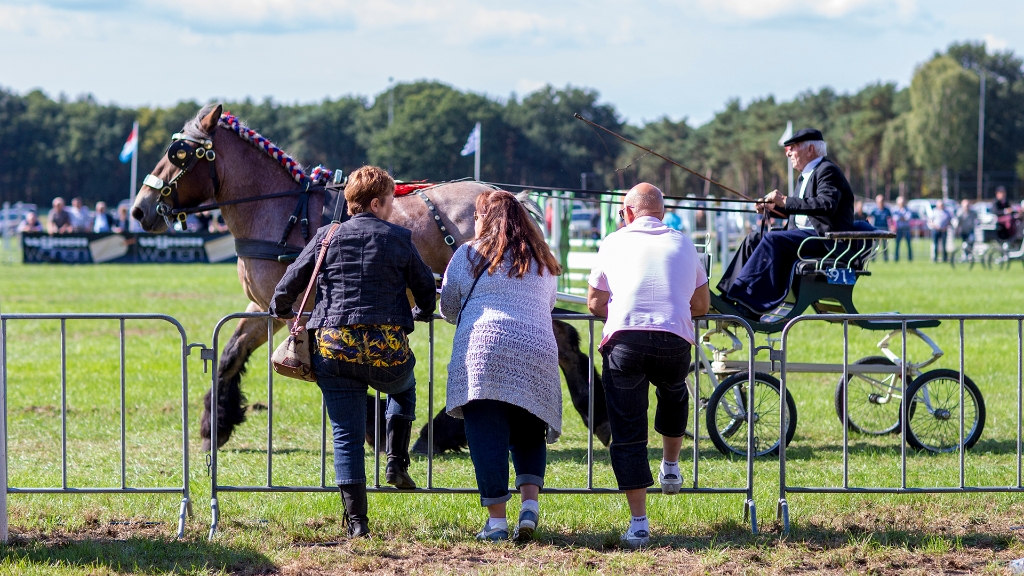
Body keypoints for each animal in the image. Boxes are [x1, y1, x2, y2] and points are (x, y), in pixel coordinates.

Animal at [128, 104, 606, 453]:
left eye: (179, 154)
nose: (138, 209)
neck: (282, 211)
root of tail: (509, 197)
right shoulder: (270, 305)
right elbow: (230, 352)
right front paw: (215, 426)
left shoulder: (302, 307)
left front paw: (373, 427)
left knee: (553, 341)